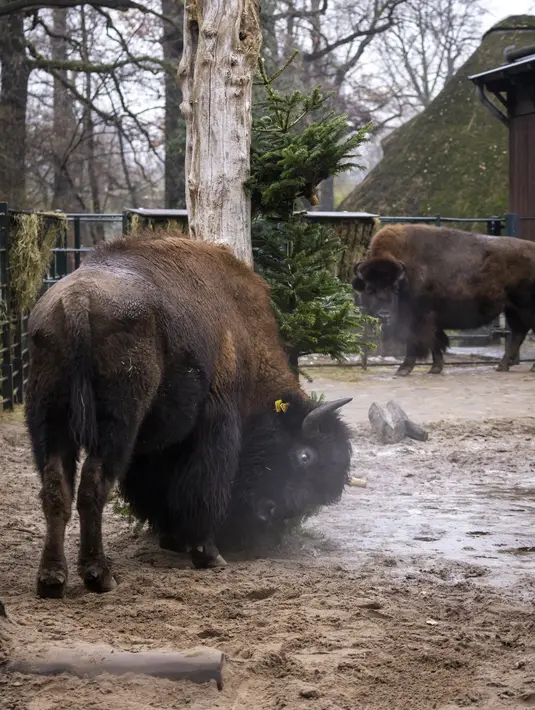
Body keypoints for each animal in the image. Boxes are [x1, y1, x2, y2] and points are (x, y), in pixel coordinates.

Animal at [25, 229, 353, 598]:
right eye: (304, 456)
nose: (269, 511)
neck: (240, 329)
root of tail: (78, 302)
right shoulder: (217, 420)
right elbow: (204, 485)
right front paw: (207, 553)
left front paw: (173, 539)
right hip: (117, 424)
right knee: (93, 487)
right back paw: (100, 576)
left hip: (50, 420)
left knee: (56, 490)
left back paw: (52, 579)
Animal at [352, 223, 535, 376]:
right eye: (369, 288)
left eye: (394, 288)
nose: (384, 315)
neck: (407, 277)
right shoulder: (432, 322)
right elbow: (436, 342)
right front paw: (435, 368)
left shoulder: (419, 319)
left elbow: (416, 343)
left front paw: (403, 369)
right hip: (512, 310)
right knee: (518, 334)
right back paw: (502, 366)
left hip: (524, 309)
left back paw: (527, 368)